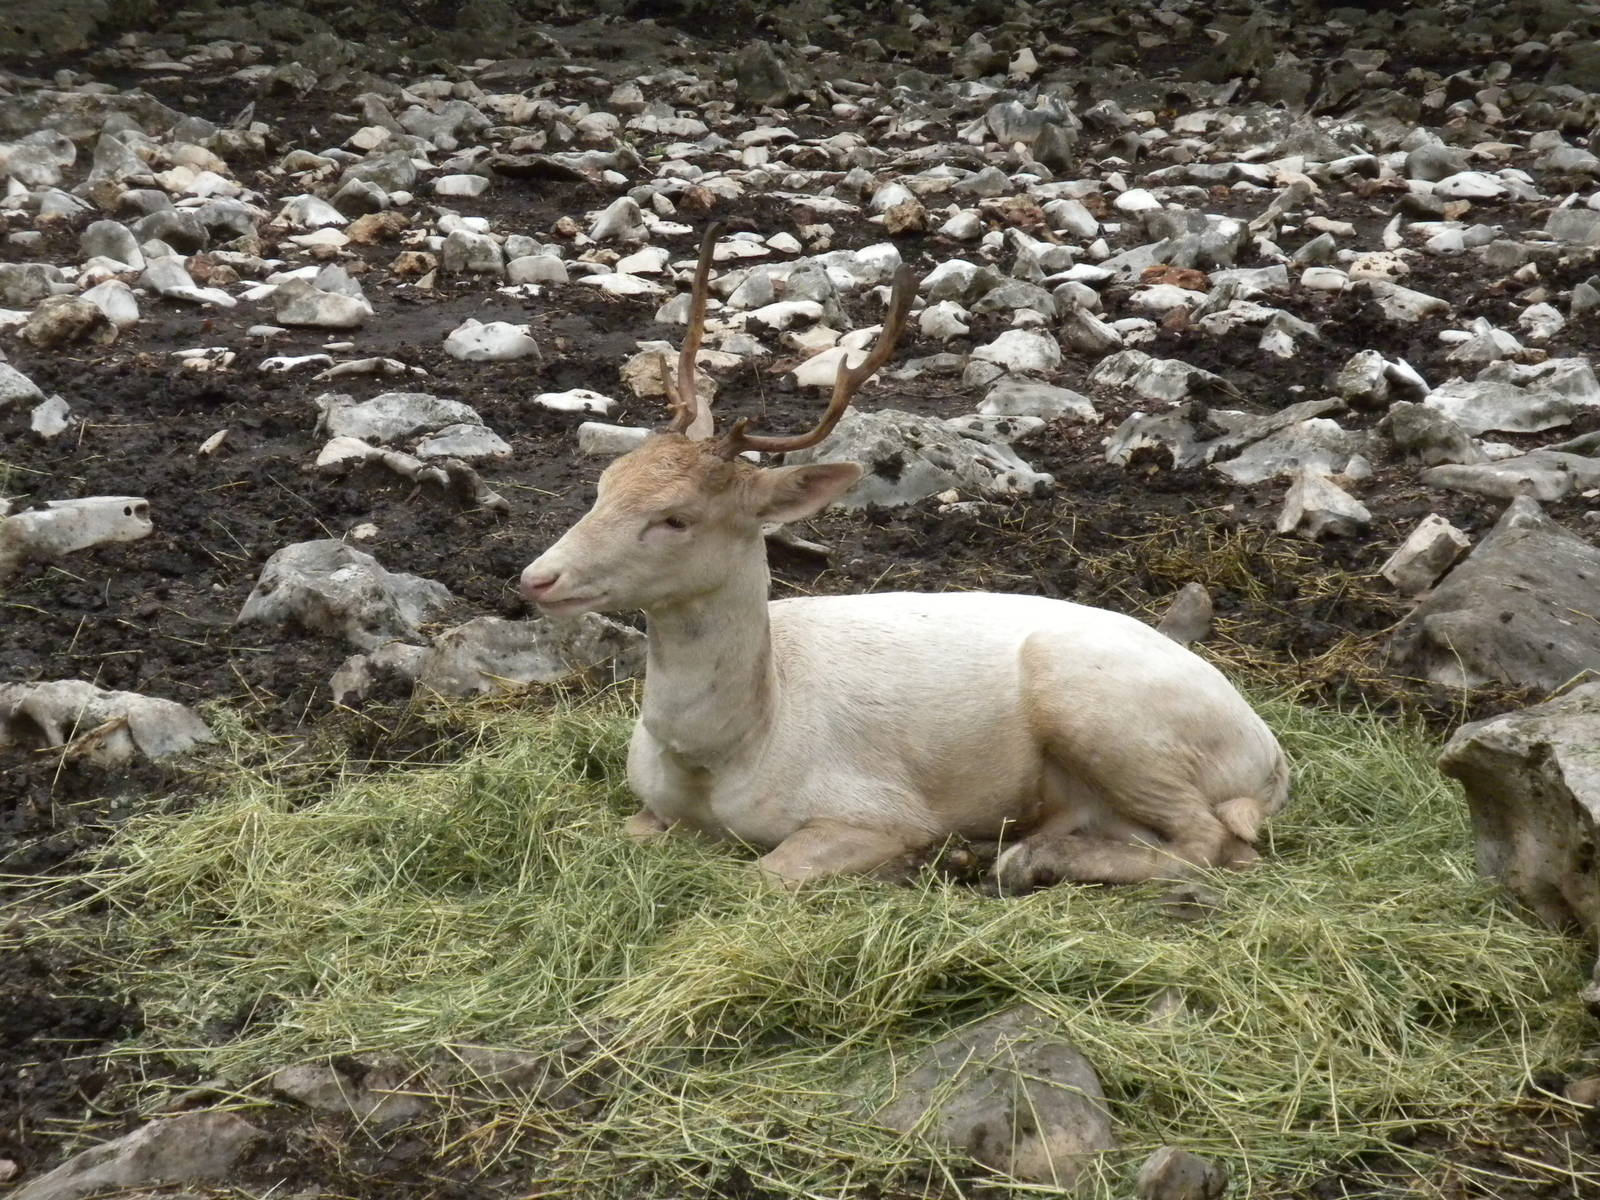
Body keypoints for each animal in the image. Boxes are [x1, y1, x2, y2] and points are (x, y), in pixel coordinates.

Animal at [520, 224, 1290, 892]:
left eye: (677, 518)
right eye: (604, 483)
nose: (537, 578)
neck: (727, 755)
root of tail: (1271, 758)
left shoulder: (875, 806)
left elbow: (766, 875)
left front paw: (918, 857)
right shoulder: (648, 807)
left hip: (1108, 715)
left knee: (1213, 842)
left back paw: (1015, 860)